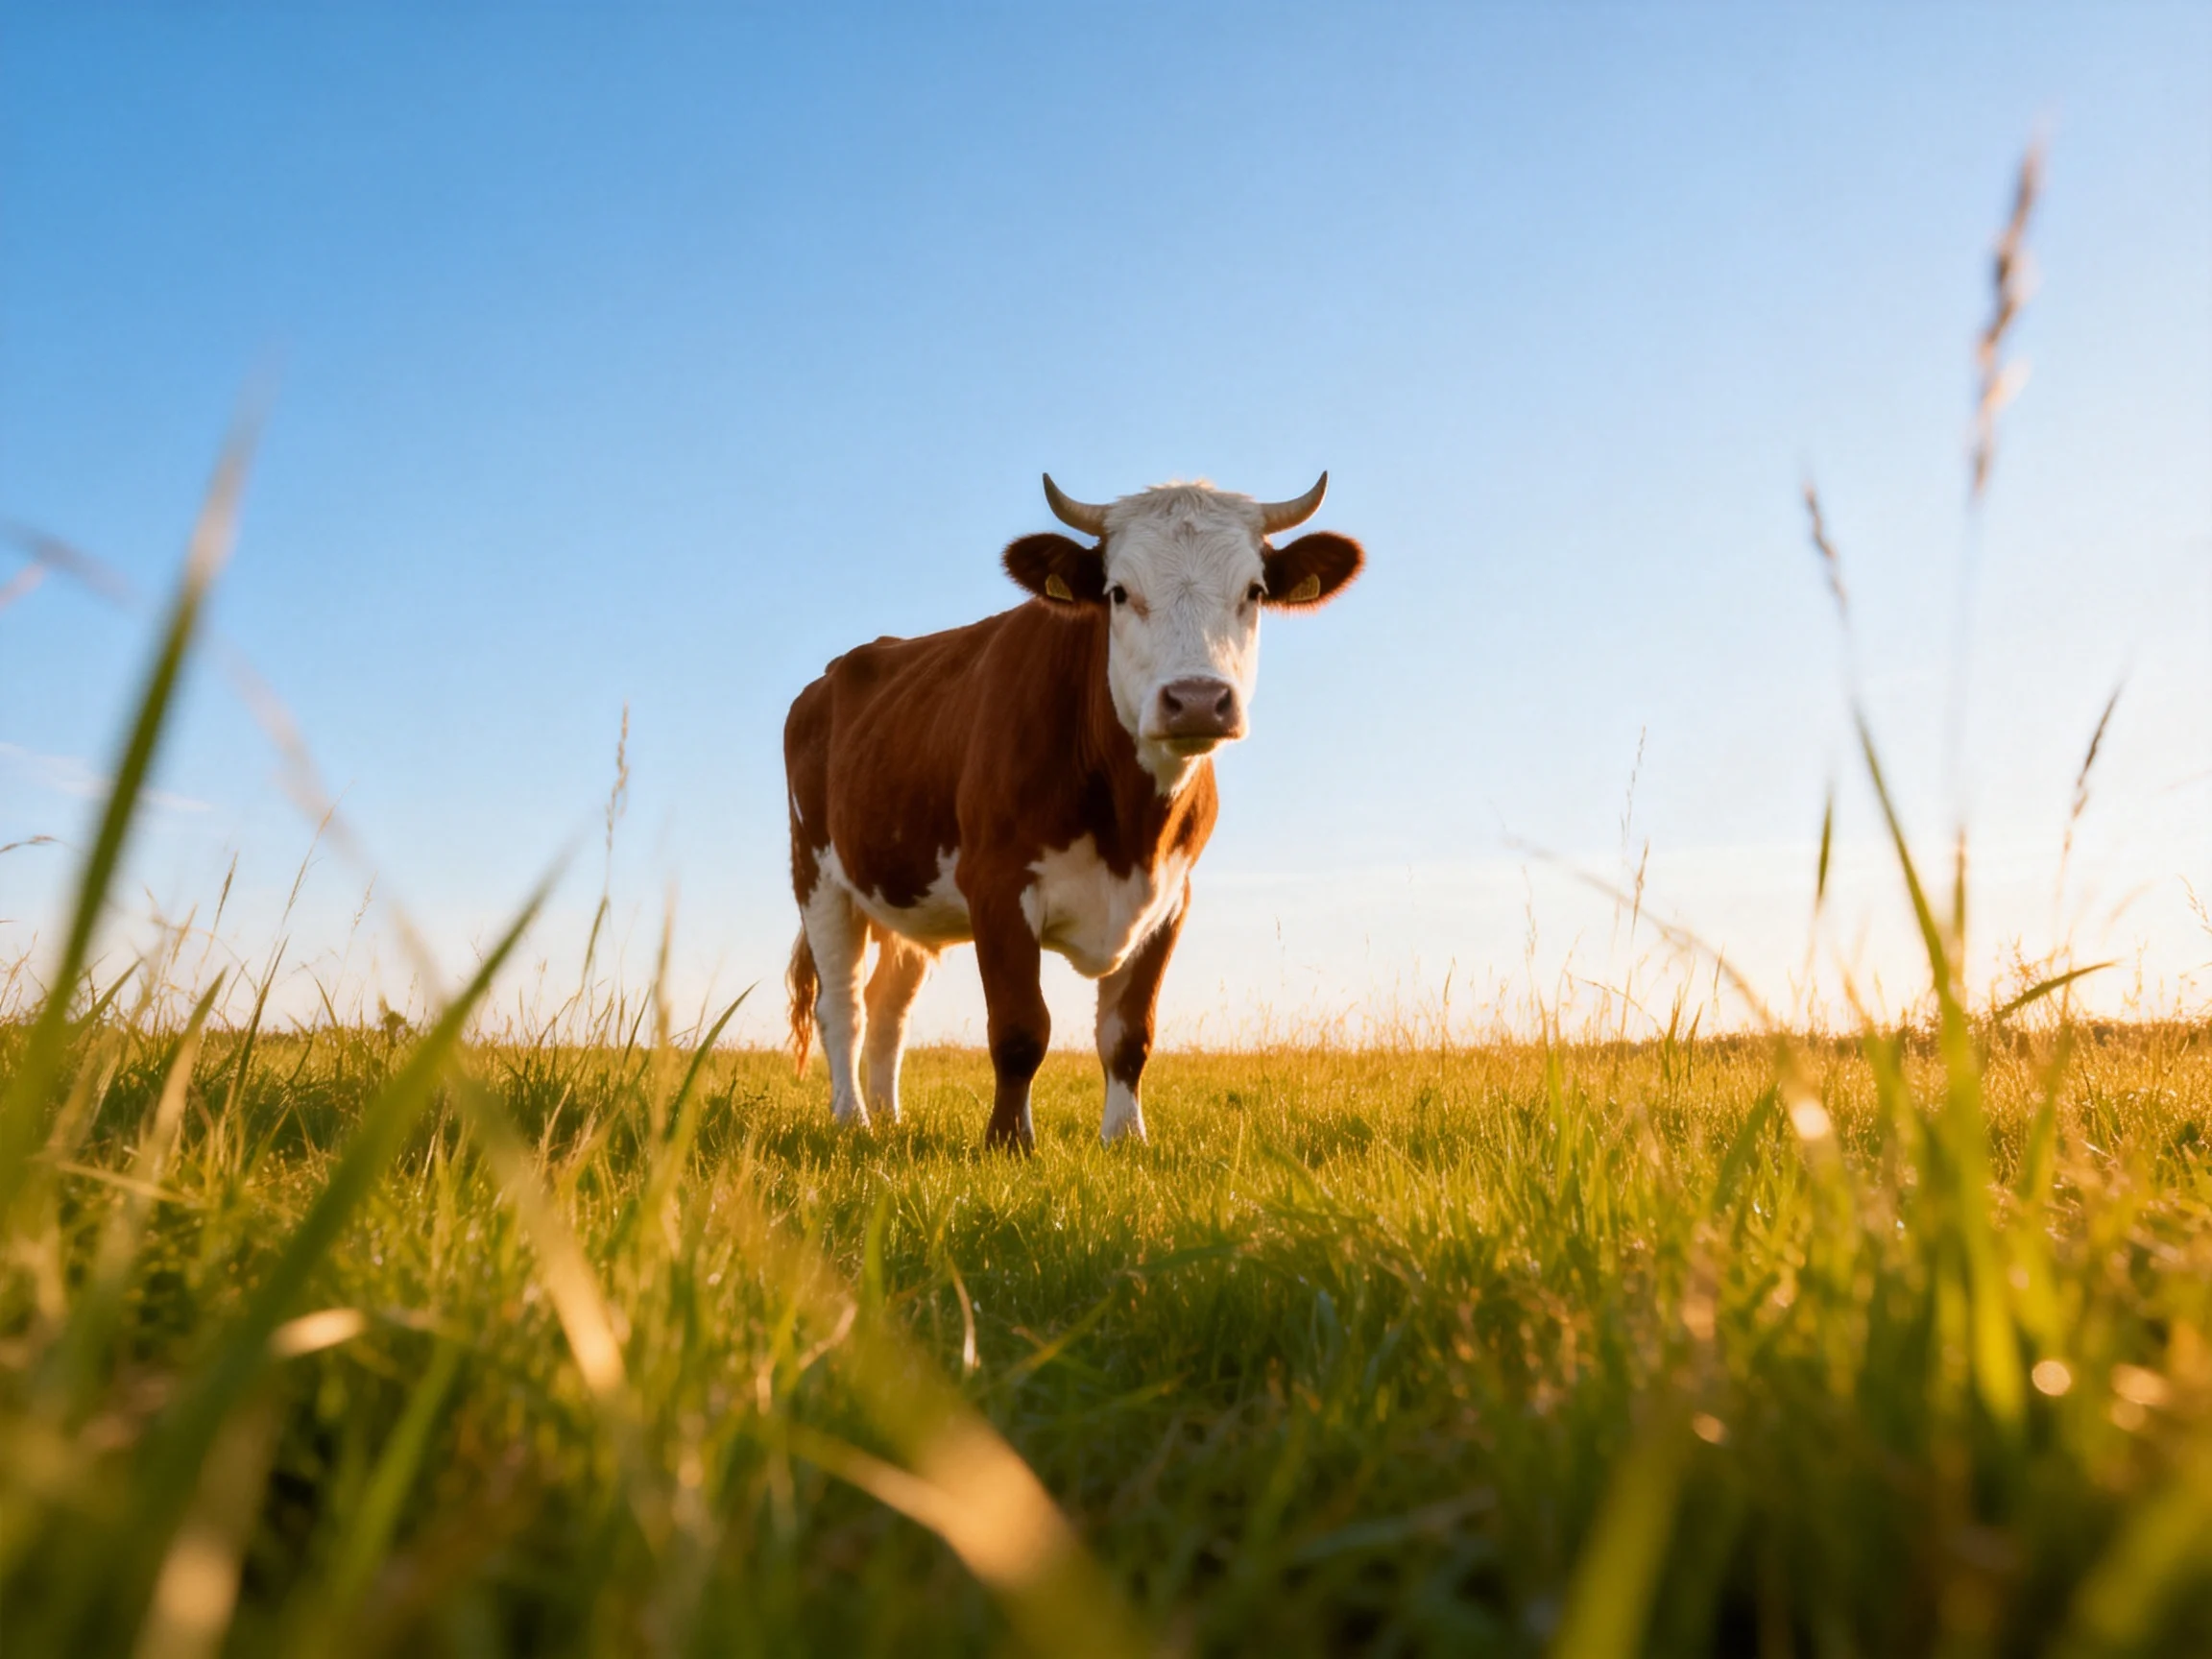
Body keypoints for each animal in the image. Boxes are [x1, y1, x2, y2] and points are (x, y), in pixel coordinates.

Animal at [783, 472, 1364, 1151]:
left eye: (1255, 591)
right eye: (1118, 592)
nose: (1196, 700)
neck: (1130, 829)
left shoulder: (1171, 897)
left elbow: (1129, 1033)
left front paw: (1126, 1138)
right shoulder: (997, 884)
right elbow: (1019, 1028)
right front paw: (1009, 1143)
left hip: (905, 896)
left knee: (886, 1009)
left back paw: (889, 1119)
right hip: (818, 876)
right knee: (841, 1007)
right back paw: (852, 1119)